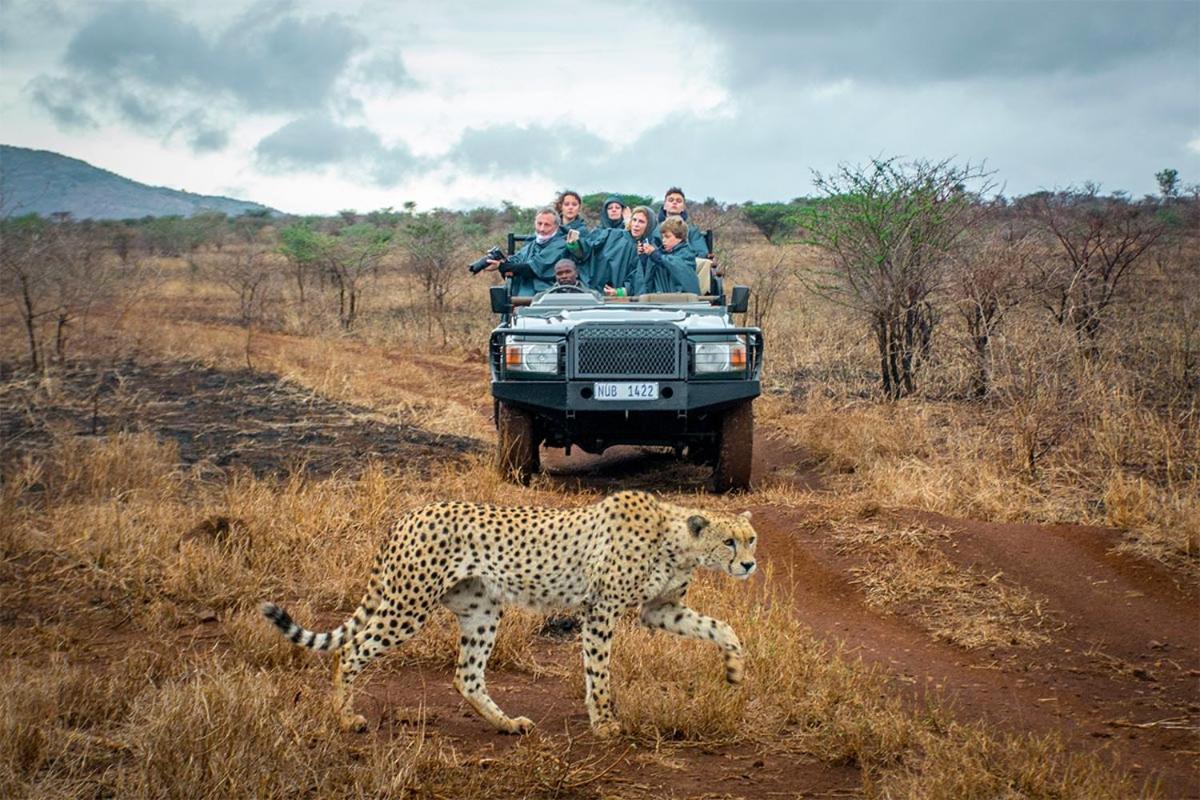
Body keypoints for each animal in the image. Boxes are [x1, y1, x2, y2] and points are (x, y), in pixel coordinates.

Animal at [261, 489, 753, 738]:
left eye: (751, 540)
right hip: (408, 605)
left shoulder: (660, 610)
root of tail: (409, 514)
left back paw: (507, 723)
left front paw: (734, 670)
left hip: (480, 610)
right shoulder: (600, 610)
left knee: (467, 675)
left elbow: (721, 627)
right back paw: (345, 718)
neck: (676, 541)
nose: (749, 565)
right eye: (730, 541)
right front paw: (604, 722)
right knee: (352, 651)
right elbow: (599, 671)